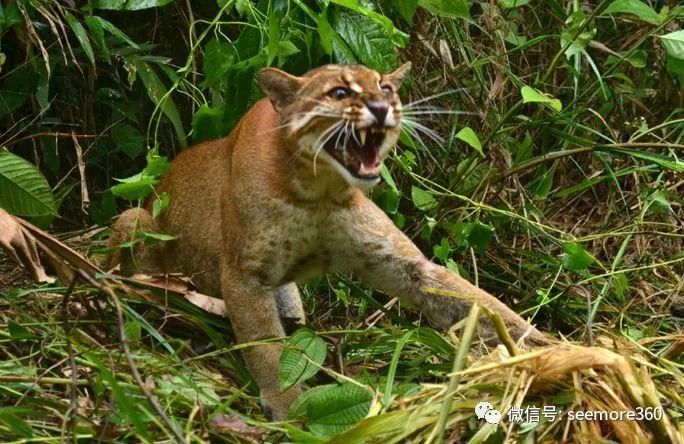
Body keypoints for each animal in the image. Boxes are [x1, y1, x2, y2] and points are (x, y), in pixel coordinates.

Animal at [108, 62, 552, 420]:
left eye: (385, 88)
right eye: (339, 93)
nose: (381, 107)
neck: (318, 192)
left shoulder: (401, 263)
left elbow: (478, 302)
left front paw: (549, 351)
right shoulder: (243, 274)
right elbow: (265, 345)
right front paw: (288, 406)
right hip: (136, 220)